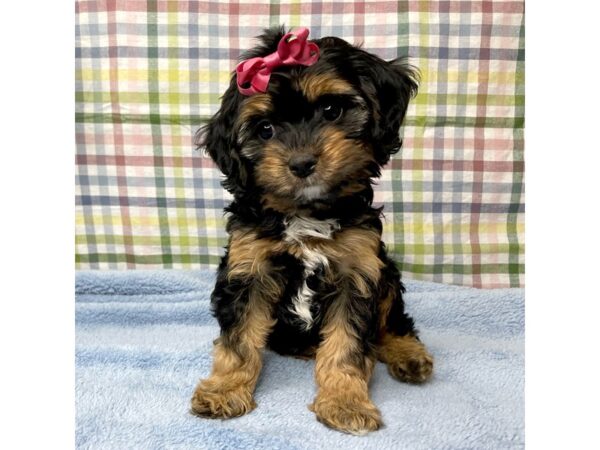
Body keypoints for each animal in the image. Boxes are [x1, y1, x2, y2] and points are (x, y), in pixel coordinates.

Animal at [191, 26, 432, 434]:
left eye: (332, 110)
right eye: (266, 129)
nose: (302, 163)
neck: (305, 213)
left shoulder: (357, 269)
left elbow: (347, 346)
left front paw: (345, 402)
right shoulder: (249, 266)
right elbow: (238, 341)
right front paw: (223, 391)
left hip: (387, 275)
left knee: (394, 321)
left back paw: (408, 354)